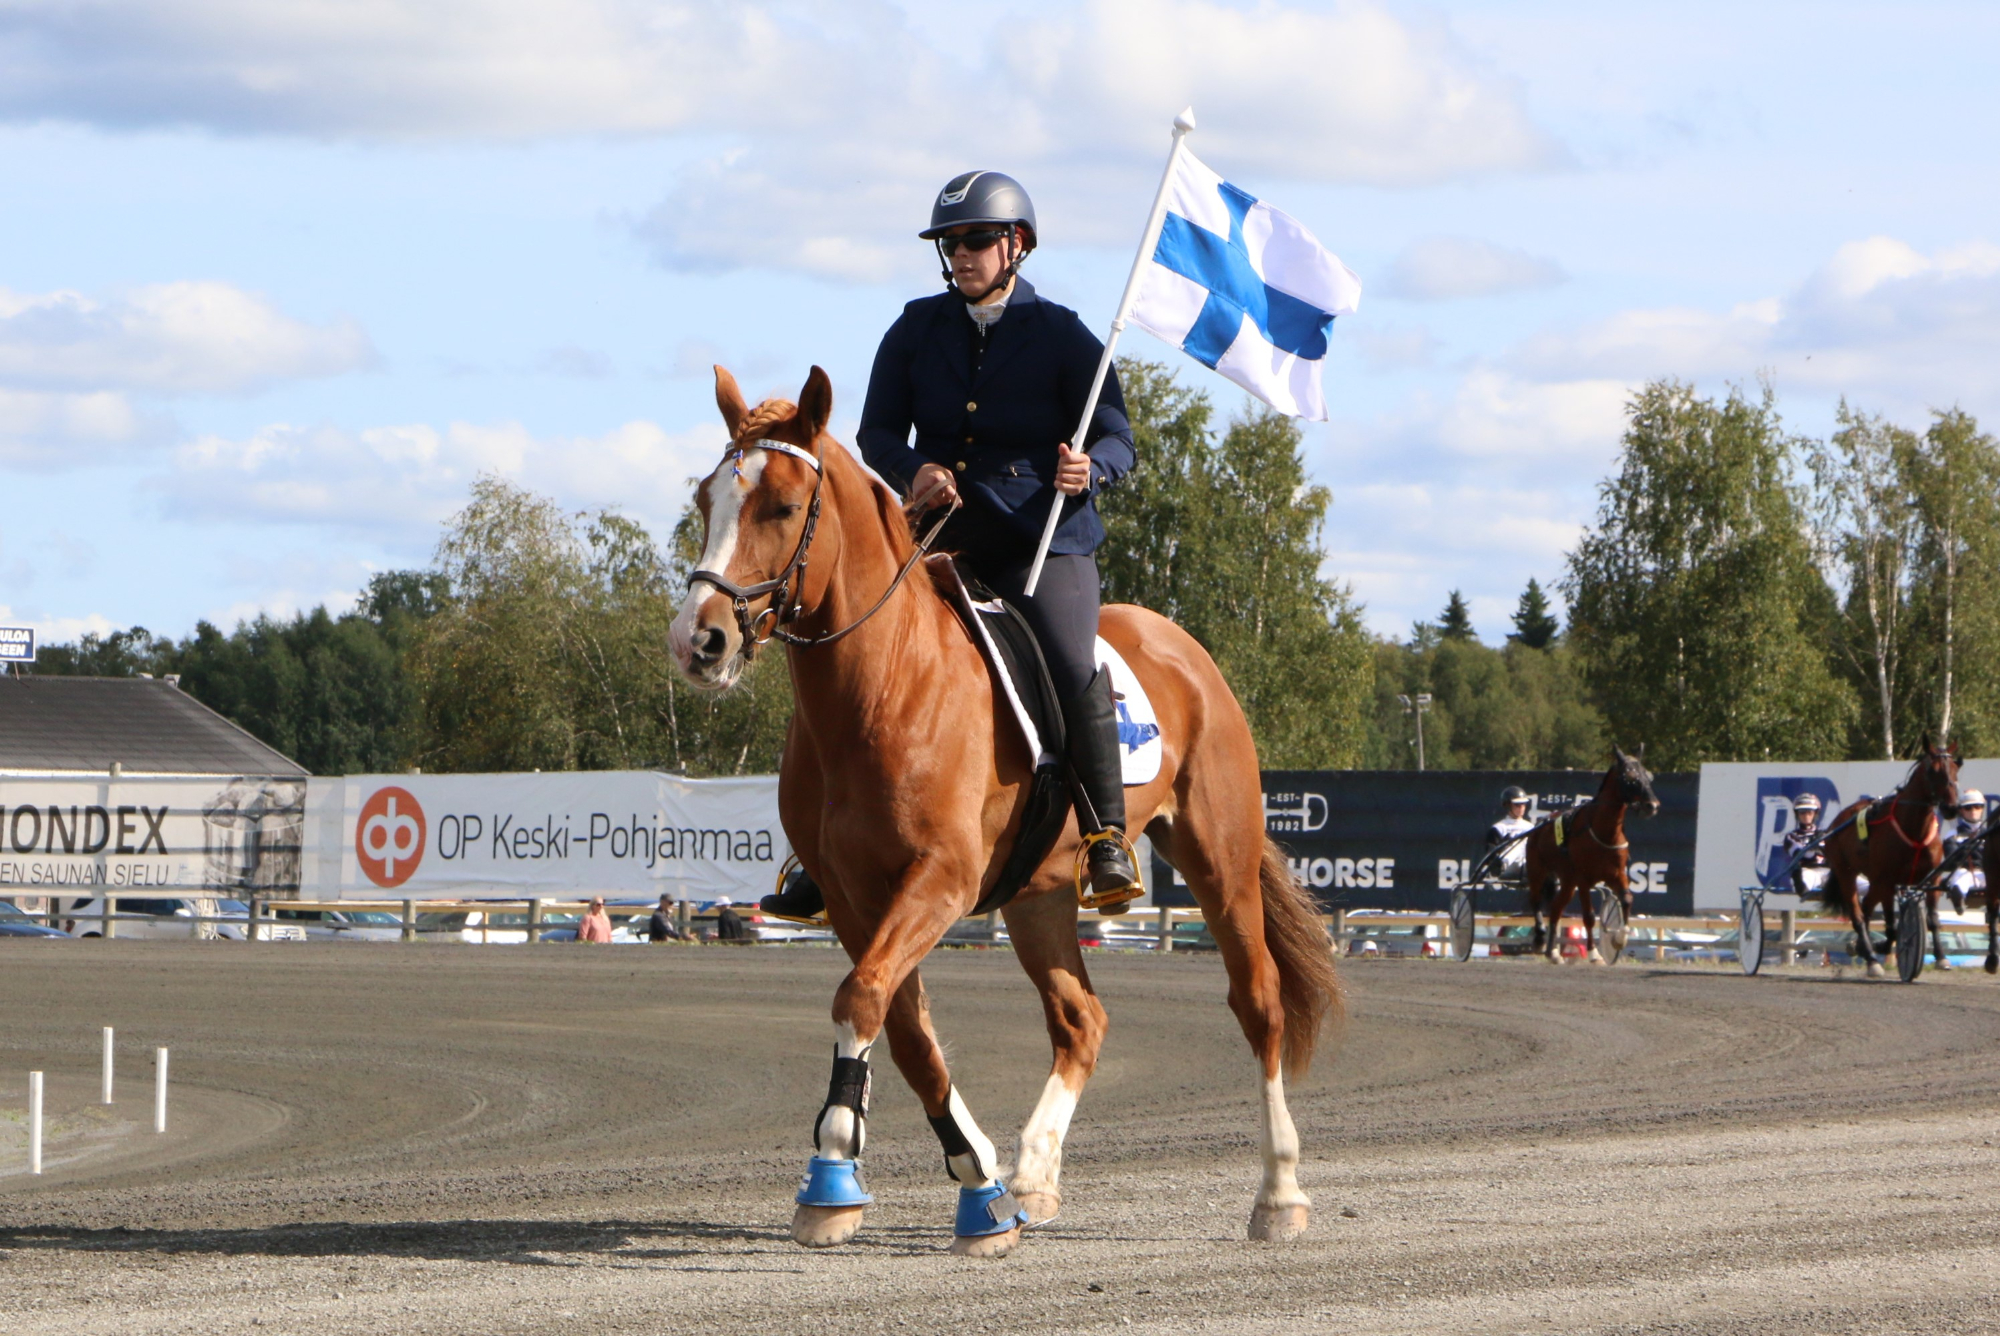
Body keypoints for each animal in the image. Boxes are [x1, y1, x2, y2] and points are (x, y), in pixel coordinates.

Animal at [672, 370, 1344, 1256]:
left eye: (782, 506)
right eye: (705, 498)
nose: (699, 641)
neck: (882, 686)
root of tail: (1185, 648)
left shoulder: (942, 879)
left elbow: (862, 1001)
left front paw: (837, 1167)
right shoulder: (853, 897)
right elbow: (905, 1028)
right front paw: (976, 1182)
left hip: (1218, 860)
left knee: (1258, 1001)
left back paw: (1278, 1194)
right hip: (1038, 897)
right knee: (1081, 1019)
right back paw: (1032, 1175)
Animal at [1528, 752, 1656, 960]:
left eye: (1649, 776)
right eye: (1630, 778)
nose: (1652, 805)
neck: (1604, 832)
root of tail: (1539, 824)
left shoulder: (1616, 874)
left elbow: (1627, 899)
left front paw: (1619, 938)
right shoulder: (1583, 879)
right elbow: (1588, 916)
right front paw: (1594, 953)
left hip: (1568, 880)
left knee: (1556, 908)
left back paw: (1553, 952)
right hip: (1537, 870)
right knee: (1536, 900)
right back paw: (1540, 938)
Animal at [1832, 736, 1968, 976]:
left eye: (1955, 768)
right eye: (1932, 771)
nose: (1952, 808)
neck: (1915, 829)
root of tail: (1840, 819)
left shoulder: (1931, 878)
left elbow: (1932, 919)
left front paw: (1942, 958)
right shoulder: (1887, 880)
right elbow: (1890, 925)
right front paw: (1877, 949)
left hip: (1879, 882)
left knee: (1871, 911)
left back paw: (1864, 948)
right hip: (1848, 873)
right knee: (1859, 915)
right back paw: (1871, 958)